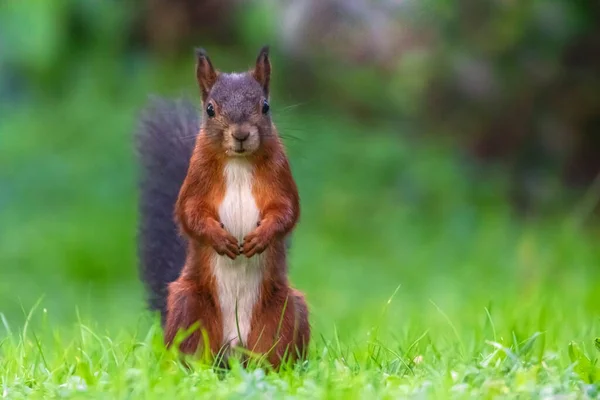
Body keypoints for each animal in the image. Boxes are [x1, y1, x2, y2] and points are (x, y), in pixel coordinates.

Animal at [135, 45, 310, 368]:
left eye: (265, 106)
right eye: (210, 109)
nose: (240, 134)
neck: (238, 162)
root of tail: (233, 348)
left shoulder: (281, 177)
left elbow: (287, 211)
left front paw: (262, 237)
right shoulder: (195, 179)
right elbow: (189, 213)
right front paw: (218, 239)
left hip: (284, 311)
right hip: (189, 307)